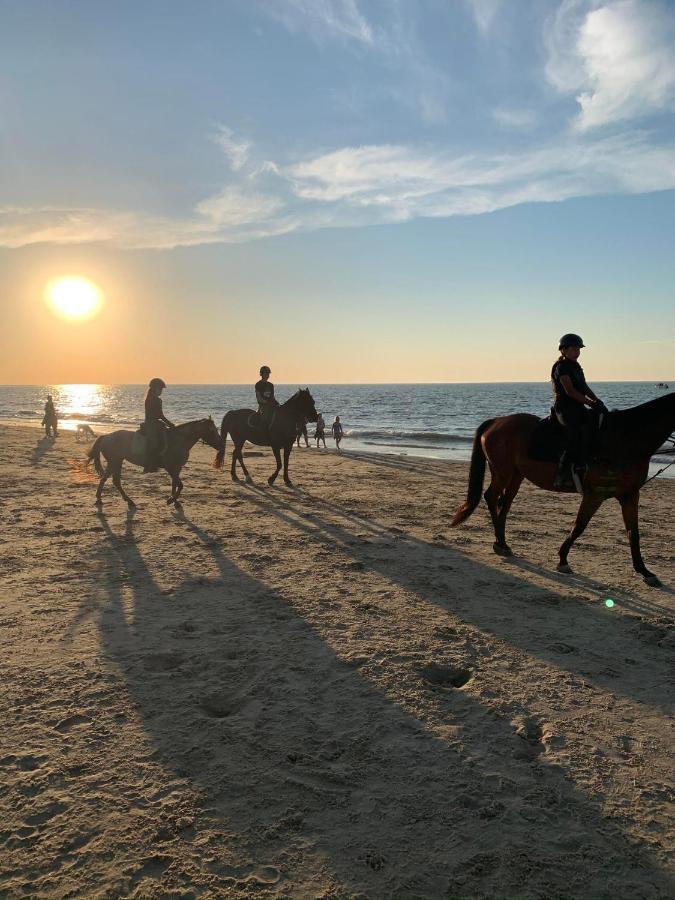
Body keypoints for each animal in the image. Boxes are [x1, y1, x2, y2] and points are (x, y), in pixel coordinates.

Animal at [86, 418, 224, 510]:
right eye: (212, 431)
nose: (220, 445)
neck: (179, 440)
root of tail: (106, 436)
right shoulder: (171, 468)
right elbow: (180, 485)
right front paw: (171, 500)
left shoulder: (176, 468)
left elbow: (175, 484)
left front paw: (174, 501)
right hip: (114, 461)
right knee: (109, 480)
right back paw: (105, 499)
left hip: (117, 461)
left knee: (113, 481)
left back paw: (123, 500)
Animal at [452, 392, 675, 588]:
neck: (624, 439)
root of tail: (496, 421)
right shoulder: (595, 494)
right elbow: (579, 526)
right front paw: (563, 560)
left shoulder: (630, 495)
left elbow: (633, 533)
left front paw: (645, 571)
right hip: (503, 473)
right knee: (491, 496)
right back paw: (499, 542)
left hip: (516, 475)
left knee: (504, 503)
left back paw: (502, 543)